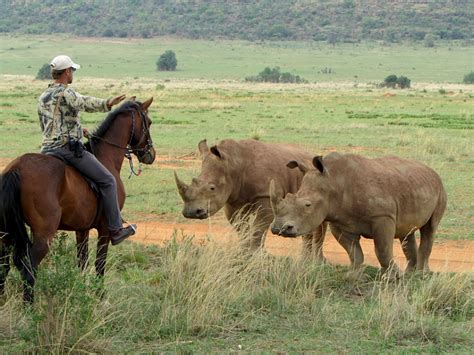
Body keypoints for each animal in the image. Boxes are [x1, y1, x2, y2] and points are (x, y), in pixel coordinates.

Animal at [0, 98, 156, 304]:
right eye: (149, 122)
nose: (151, 154)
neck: (106, 157)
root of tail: (16, 168)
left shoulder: (82, 230)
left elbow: (82, 262)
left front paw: (81, 293)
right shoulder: (105, 229)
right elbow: (99, 264)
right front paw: (100, 297)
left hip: (6, 234)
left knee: (3, 268)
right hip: (43, 237)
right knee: (28, 270)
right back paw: (29, 308)